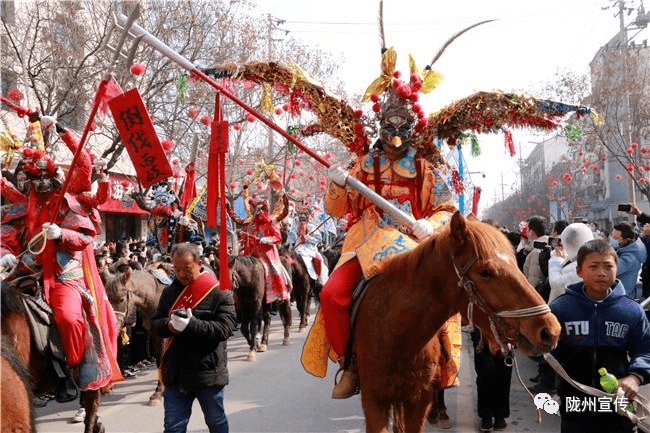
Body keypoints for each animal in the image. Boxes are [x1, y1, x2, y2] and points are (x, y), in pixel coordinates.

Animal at [352, 212, 560, 432]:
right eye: (485, 272)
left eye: (515, 263)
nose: (550, 330)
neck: (398, 334)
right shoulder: (374, 399)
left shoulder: (418, 399)